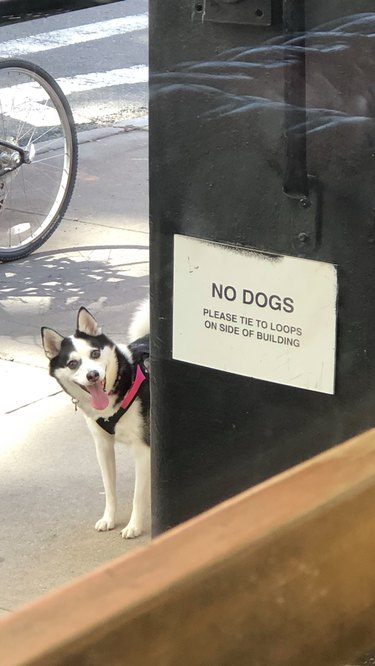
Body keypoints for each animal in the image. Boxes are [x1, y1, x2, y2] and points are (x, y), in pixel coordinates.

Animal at [41, 304, 151, 536]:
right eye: (72, 363)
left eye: (95, 353)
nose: (92, 375)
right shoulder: (103, 446)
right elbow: (109, 489)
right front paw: (109, 518)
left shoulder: (142, 449)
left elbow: (138, 496)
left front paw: (134, 526)